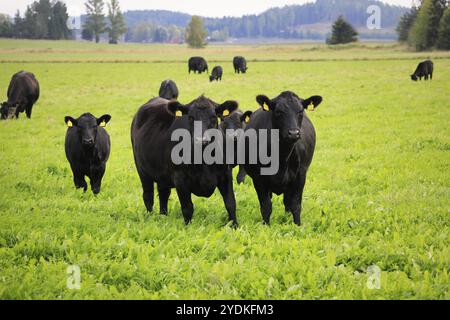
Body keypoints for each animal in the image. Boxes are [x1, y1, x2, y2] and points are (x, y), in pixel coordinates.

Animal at [131, 95, 239, 225]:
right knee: (148, 195)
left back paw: (163, 216)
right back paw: (150, 217)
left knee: (163, 194)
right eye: (191, 117)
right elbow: (187, 207)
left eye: (213, 117)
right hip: (142, 170)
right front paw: (188, 227)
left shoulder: (226, 174)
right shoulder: (180, 179)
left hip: (162, 175)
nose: (201, 140)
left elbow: (230, 203)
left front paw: (235, 226)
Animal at [243, 90, 324, 226]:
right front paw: (266, 226)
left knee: (287, 202)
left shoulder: (300, 176)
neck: (281, 156)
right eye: (278, 111)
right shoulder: (258, 178)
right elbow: (266, 206)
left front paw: (297, 225)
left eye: (300, 111)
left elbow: (295, 205)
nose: (294, 133)